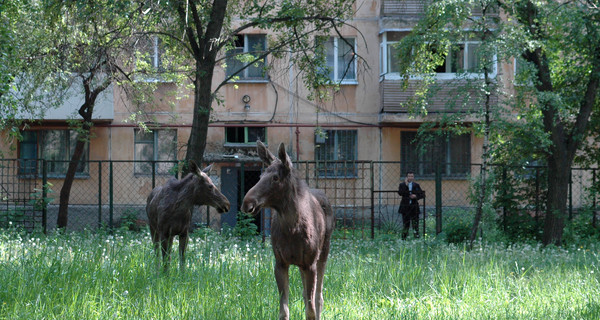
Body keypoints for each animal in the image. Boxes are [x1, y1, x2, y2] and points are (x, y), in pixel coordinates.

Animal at [243, 142, 336, 320]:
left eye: (275, 178)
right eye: (260, 176)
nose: (247, 203)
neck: (291, 229)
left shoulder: (310, 264)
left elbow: (310, 311)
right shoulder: (280, 263)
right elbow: (284, 311)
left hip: (323, 253)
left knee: (318, 297)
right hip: (301, 265)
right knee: (306, 294)